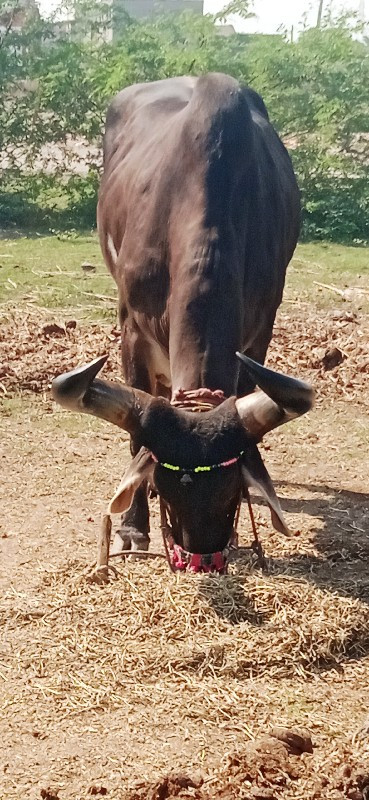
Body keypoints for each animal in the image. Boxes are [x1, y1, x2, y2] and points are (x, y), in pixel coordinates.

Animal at [51, 70, 310, 568]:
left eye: (231, 492)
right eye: (169, 489)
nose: (201, 557)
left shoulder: (260, 330)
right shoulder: (132, 331)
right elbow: (138, 440)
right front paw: (133, 526)